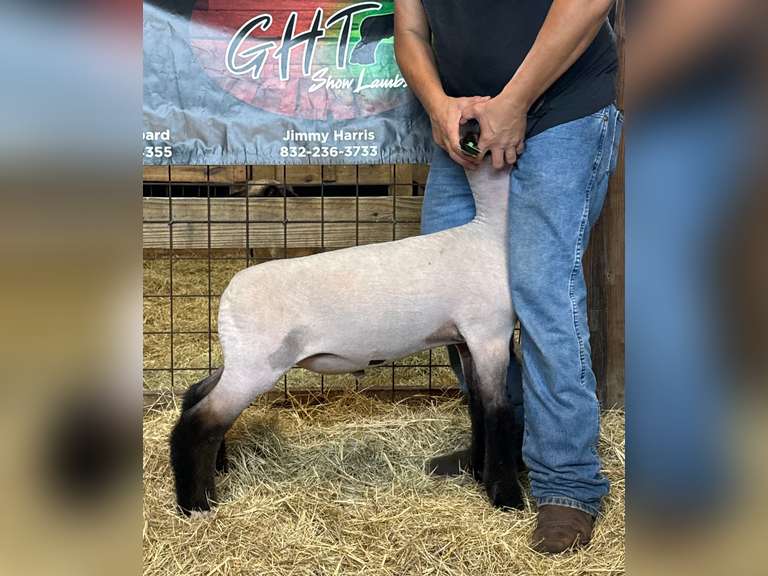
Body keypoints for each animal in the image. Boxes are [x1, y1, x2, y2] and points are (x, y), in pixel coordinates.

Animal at [170, 159, 523, 515]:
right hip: (258, 364)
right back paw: (196, 503)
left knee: (197, 393)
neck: (489, 234)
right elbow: (498, 411)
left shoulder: (467, 341)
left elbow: (478, 405)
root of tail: (228, 296)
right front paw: (507, 497)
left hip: (243, 358)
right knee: (200, 422)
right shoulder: (489, 334)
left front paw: (479, 472)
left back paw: (218, 467)